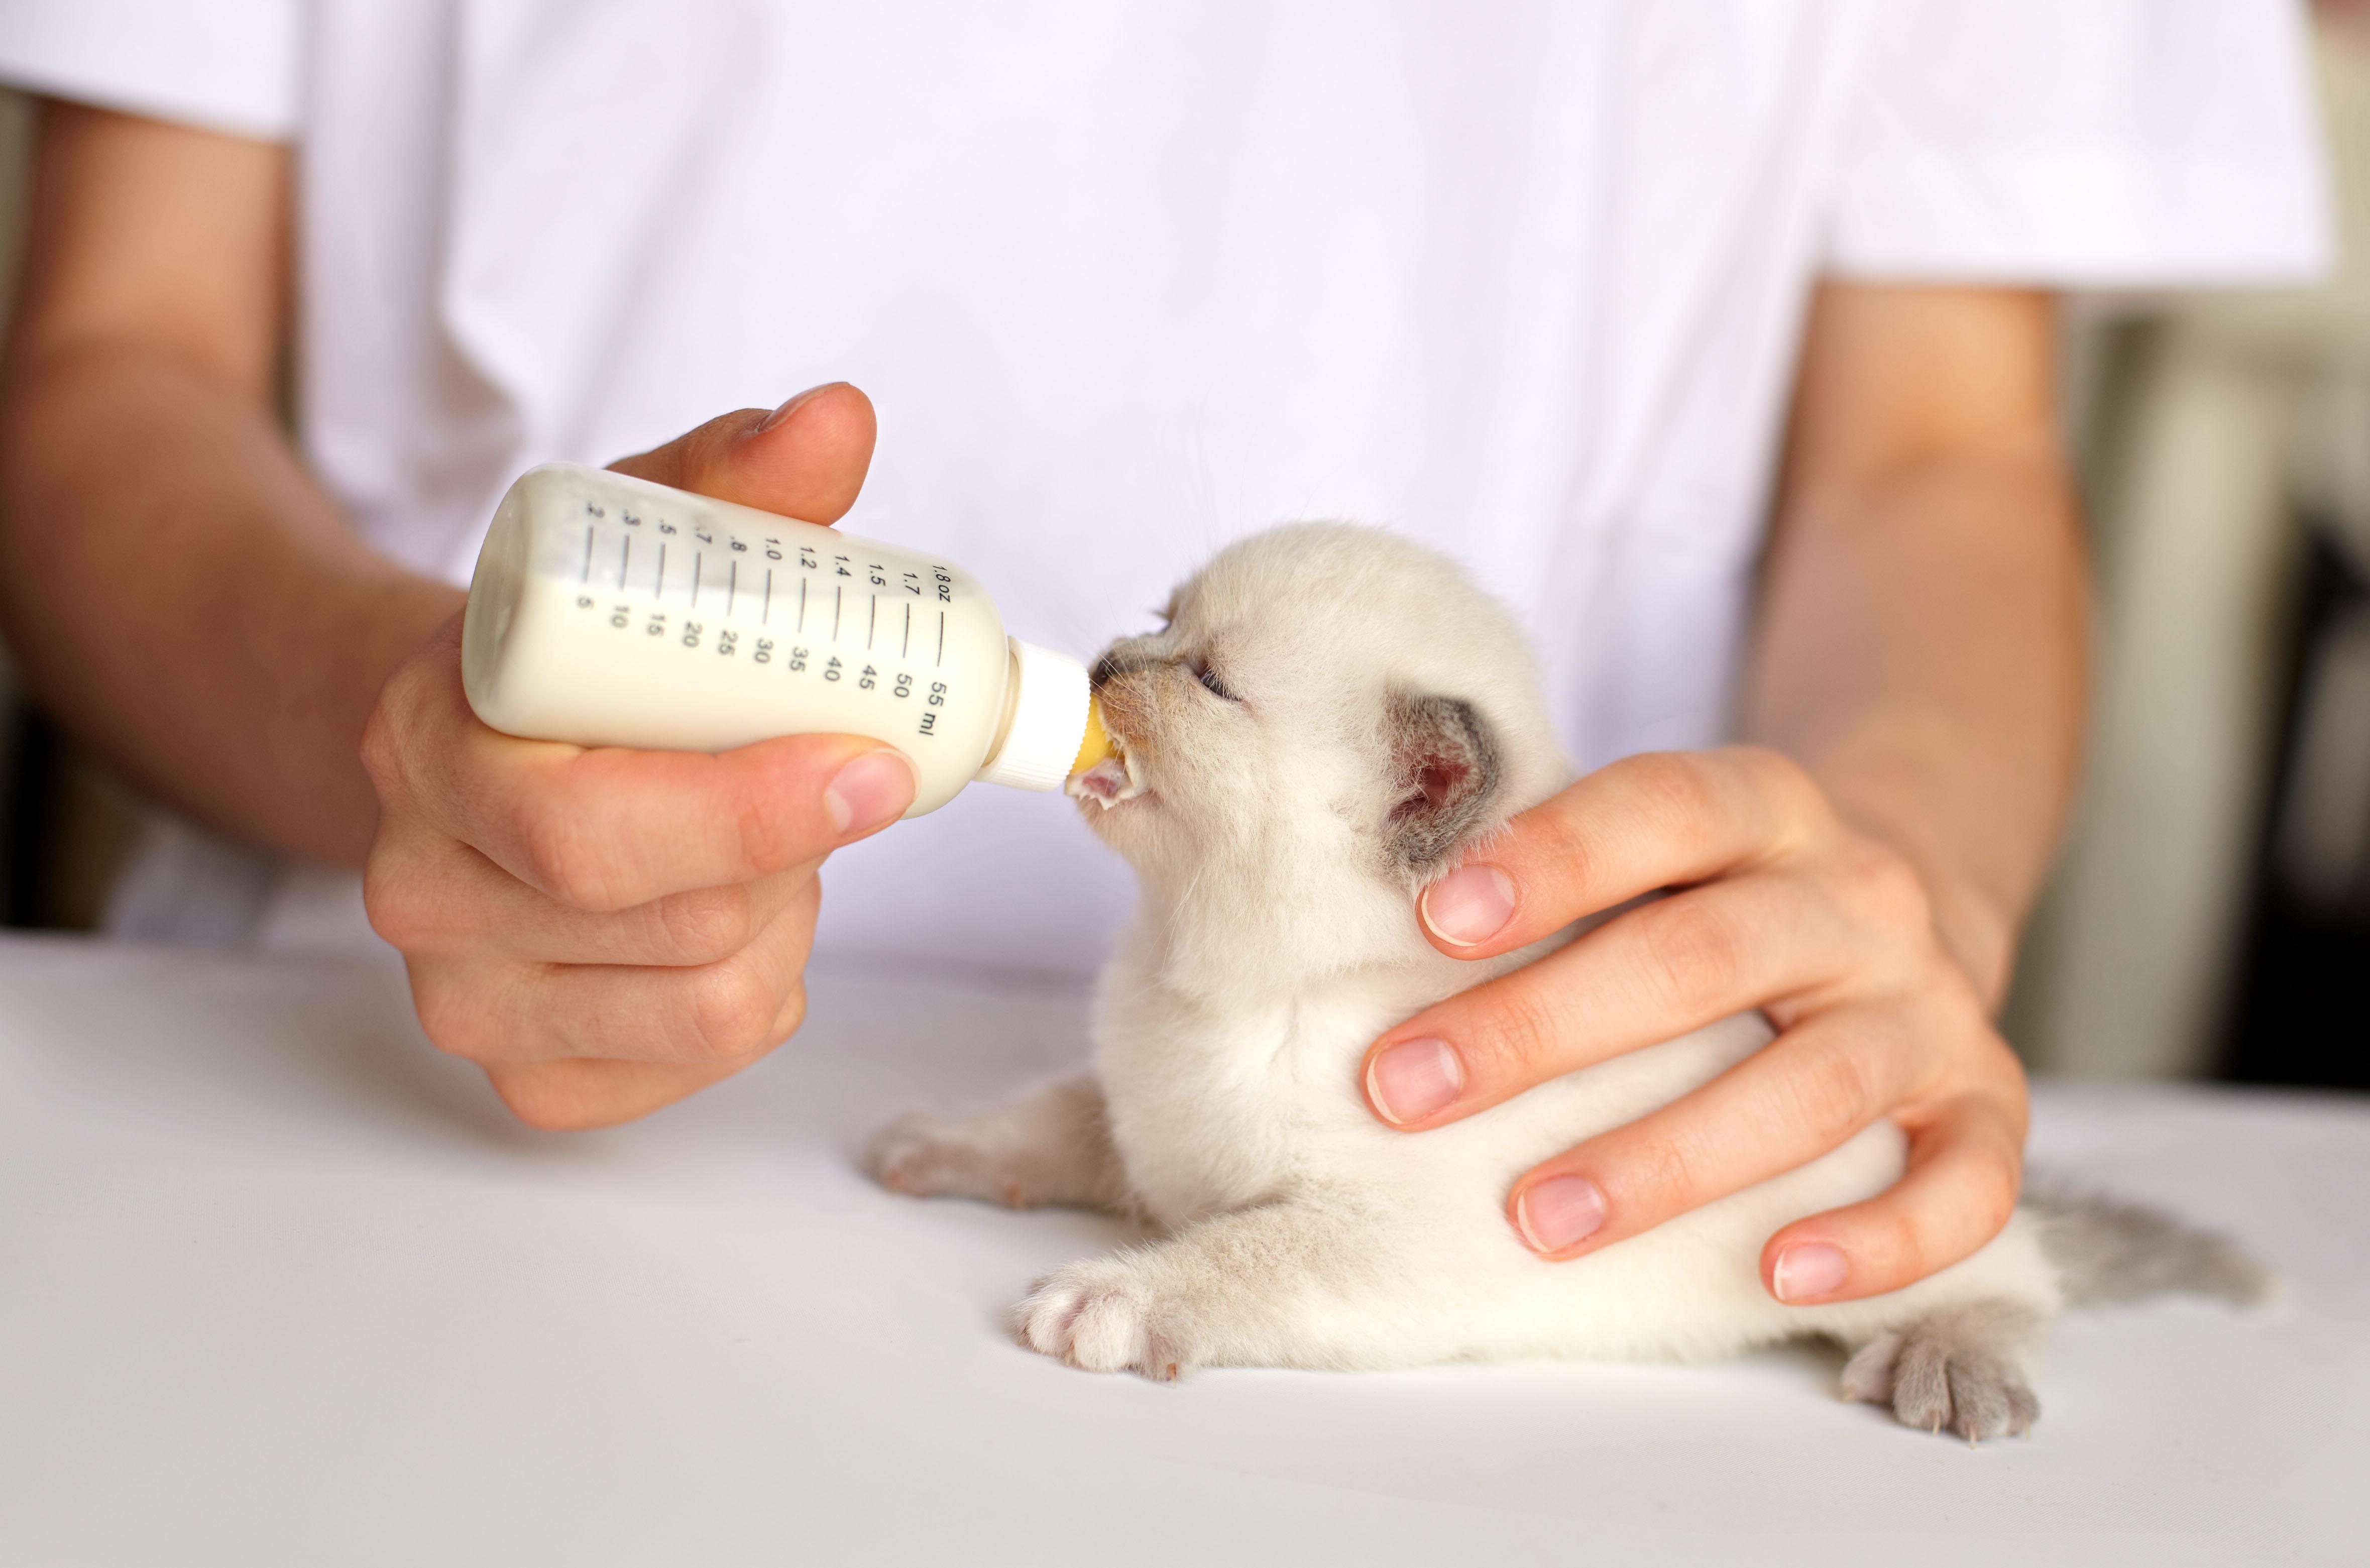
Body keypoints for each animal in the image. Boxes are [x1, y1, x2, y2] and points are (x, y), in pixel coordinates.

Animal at [867, 528, 2256, 1449]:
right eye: (1159, 618)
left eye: (1207, 681)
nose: (1106, 663)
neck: (1210, 975)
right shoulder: (1136, 1116)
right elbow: (1049, 1116)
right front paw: (940, 1144)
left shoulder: (1391, 1246)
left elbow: (1231, 1256)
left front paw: (1112, 1295)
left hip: (1871, 1227)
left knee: (2015, 1280)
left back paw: (1951, 1364)